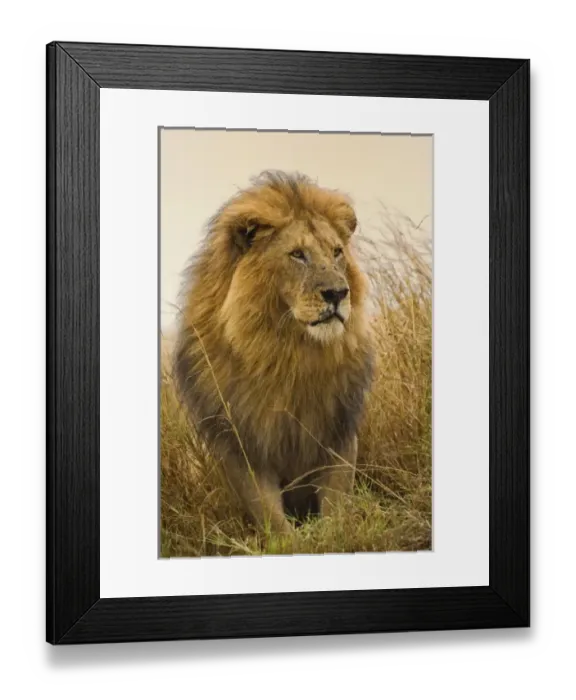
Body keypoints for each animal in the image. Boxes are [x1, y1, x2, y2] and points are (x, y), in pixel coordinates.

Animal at [174, 171, 374, 534]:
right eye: (297, 254)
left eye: (337, 252)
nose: (338, 293)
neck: (287, 353)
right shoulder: (241, 444)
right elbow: (272, 519)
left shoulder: (338, 429)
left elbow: (337, 505)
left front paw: (334, 535)